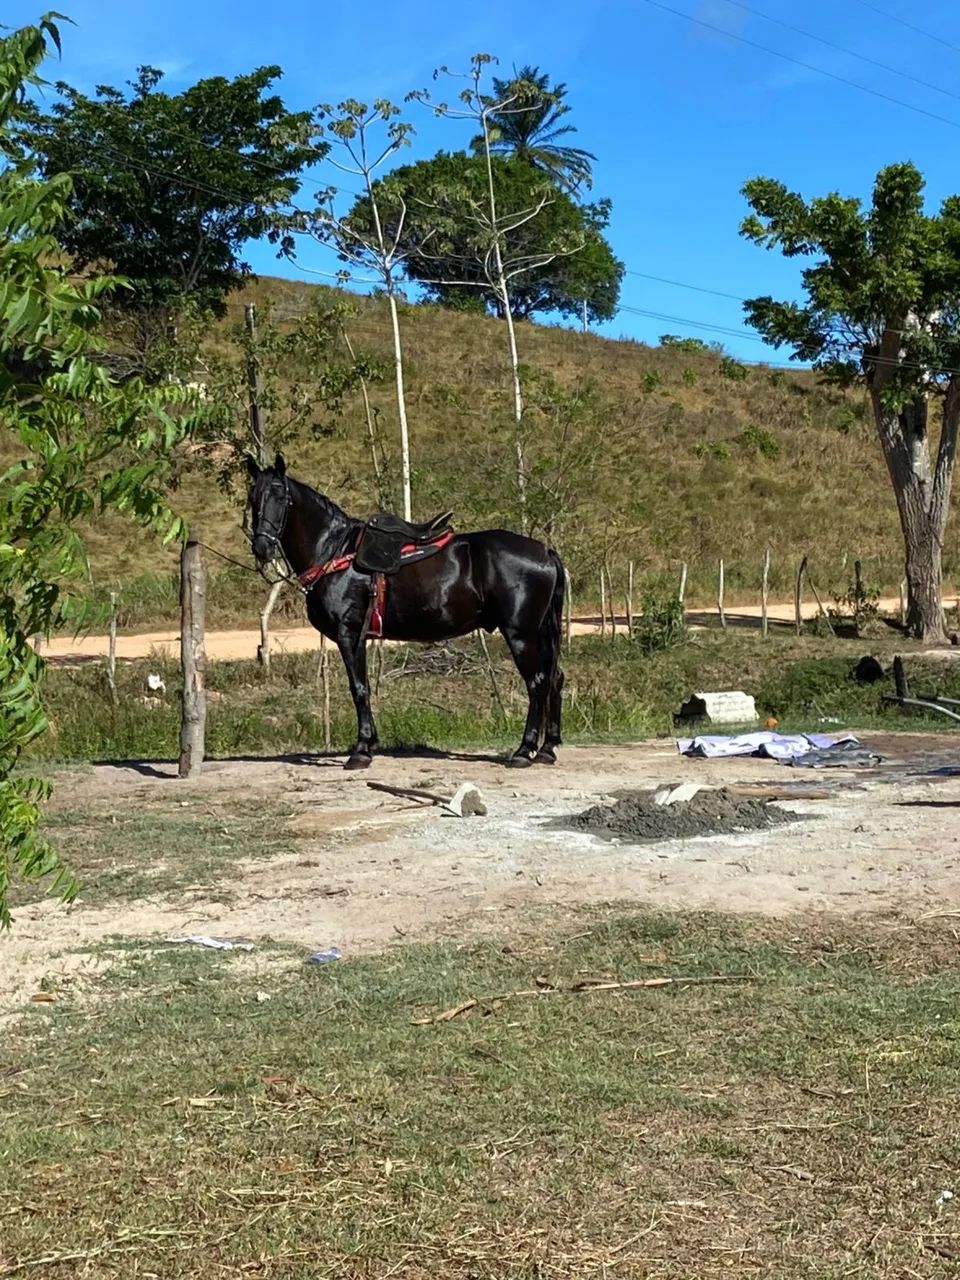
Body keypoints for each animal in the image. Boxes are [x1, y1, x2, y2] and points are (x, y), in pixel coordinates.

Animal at [246, 453, 566, 771]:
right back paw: (547, 748)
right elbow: (364, 687)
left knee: (537, 682)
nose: (262, 547)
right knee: (554, 678)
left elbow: (358, 688)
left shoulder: (349, 634)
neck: (335, 551)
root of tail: (546, 551)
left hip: (520, 634)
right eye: (253, 496)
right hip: (539, 633)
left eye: (280, 495)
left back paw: (524, 751)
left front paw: (361, 750)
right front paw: (369, 743)